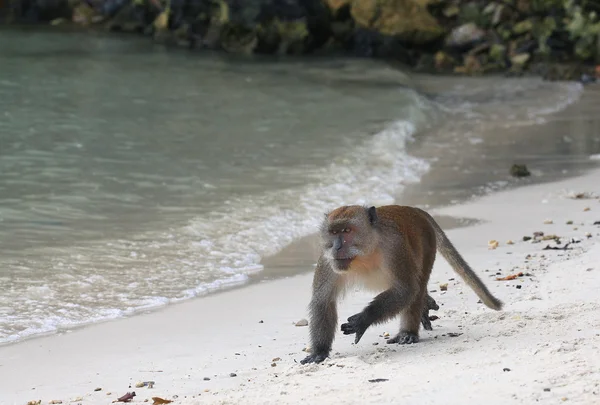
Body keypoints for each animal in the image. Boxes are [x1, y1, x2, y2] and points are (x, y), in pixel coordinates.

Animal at [298, 204, 502, 364]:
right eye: (333, 233)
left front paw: (363, 320)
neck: (365, 253)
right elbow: (323, 300)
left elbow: (406, 289)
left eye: (347, 231)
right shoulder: (328, 260)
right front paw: (320, 351)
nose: (337, 247)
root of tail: (411, 209)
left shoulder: (394, 247)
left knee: (416, 287)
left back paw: (408, 331)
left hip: (427, 244)